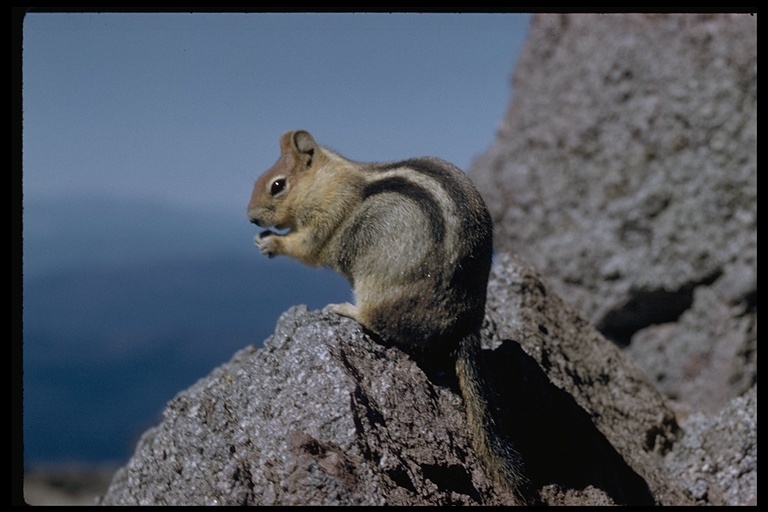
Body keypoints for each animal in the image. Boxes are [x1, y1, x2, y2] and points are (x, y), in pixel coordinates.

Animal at [249, 130, 532, 502]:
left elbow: (306, 247)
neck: (329, 180)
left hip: (378, 286)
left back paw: (345, 309)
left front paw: (270, 243)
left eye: (278, 185)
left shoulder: (327, 219)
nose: (252, 218)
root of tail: (467, 326)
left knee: (376, 322)